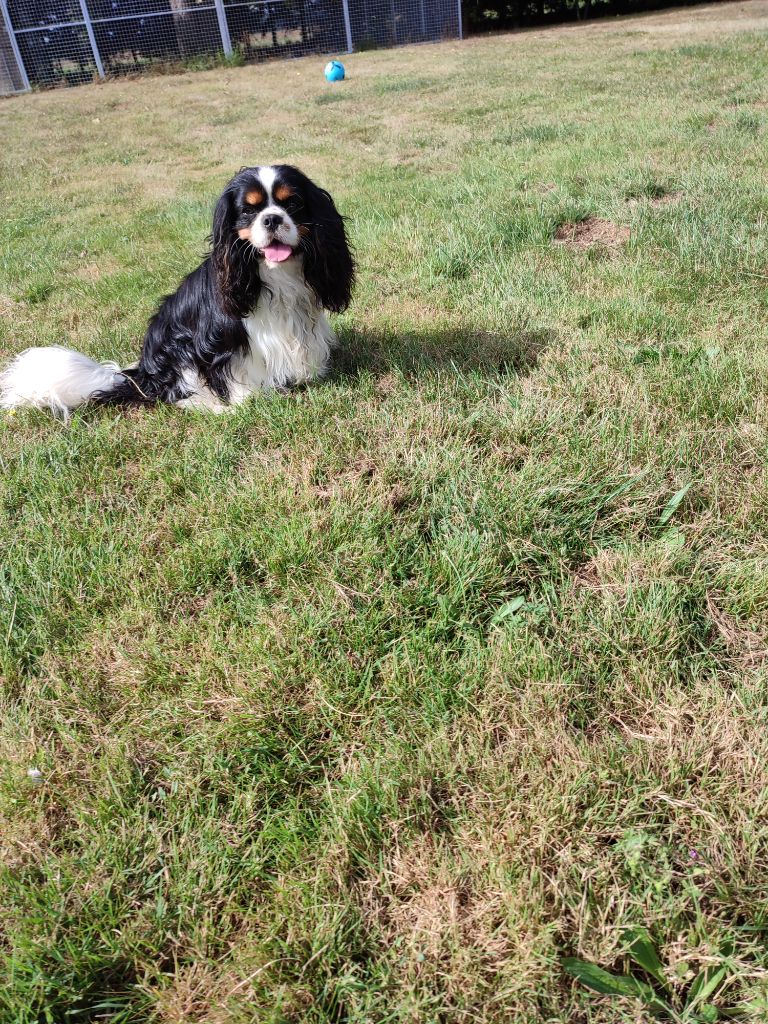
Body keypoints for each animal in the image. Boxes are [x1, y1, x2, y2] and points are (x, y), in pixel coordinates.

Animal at [0, 163, 354, 415]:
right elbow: (236, 371)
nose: (271, 219)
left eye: (292, 203)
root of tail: (143, 375)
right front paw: (246, 401)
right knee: (175, 394)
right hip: (178, 349)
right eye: (248, 211)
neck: (275, 275)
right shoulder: (222, 340)